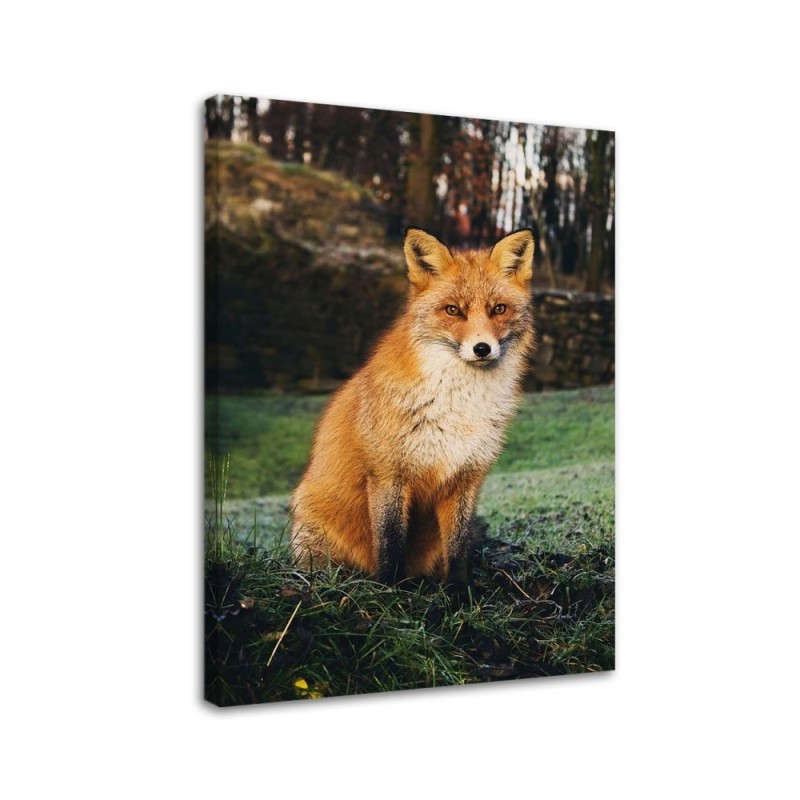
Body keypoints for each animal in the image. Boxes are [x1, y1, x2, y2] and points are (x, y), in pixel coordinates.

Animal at [290, 227, 535, 587]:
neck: (457, 406)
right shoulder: (388, 474)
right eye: (453, 310)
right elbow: (390, 543)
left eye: (498, 309)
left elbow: (458, 547)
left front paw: (460, 592)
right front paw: (390, 590)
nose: (482, 348)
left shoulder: (465, 478)